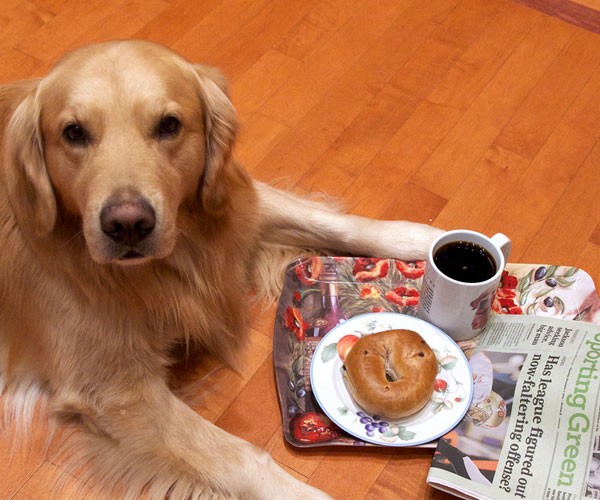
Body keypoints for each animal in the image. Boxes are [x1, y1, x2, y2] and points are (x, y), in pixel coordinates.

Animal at [0, 41, 440, 498]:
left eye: (169, 125)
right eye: (73, 133)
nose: (128, 225)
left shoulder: (236, 206)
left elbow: (337, 224)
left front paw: (429, 241)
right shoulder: (114, 391)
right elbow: (241, 456)